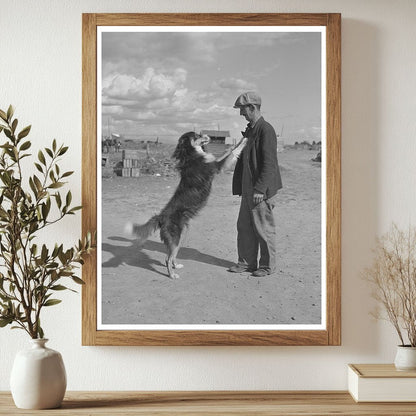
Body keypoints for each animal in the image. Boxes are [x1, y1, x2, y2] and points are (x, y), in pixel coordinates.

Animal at [125, 132, 245, 278]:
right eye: (197, 135)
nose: (207, 135)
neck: (192, 155)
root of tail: (161, 217)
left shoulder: (215, 162)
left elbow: (230, 149)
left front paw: (240, 140)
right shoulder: (217, 166)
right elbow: (233, 152)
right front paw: (246, 139)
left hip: (180, 237)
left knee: (170, 256)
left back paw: (176, 266)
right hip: (175, 237)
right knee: (167, 258)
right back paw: (172, 275)